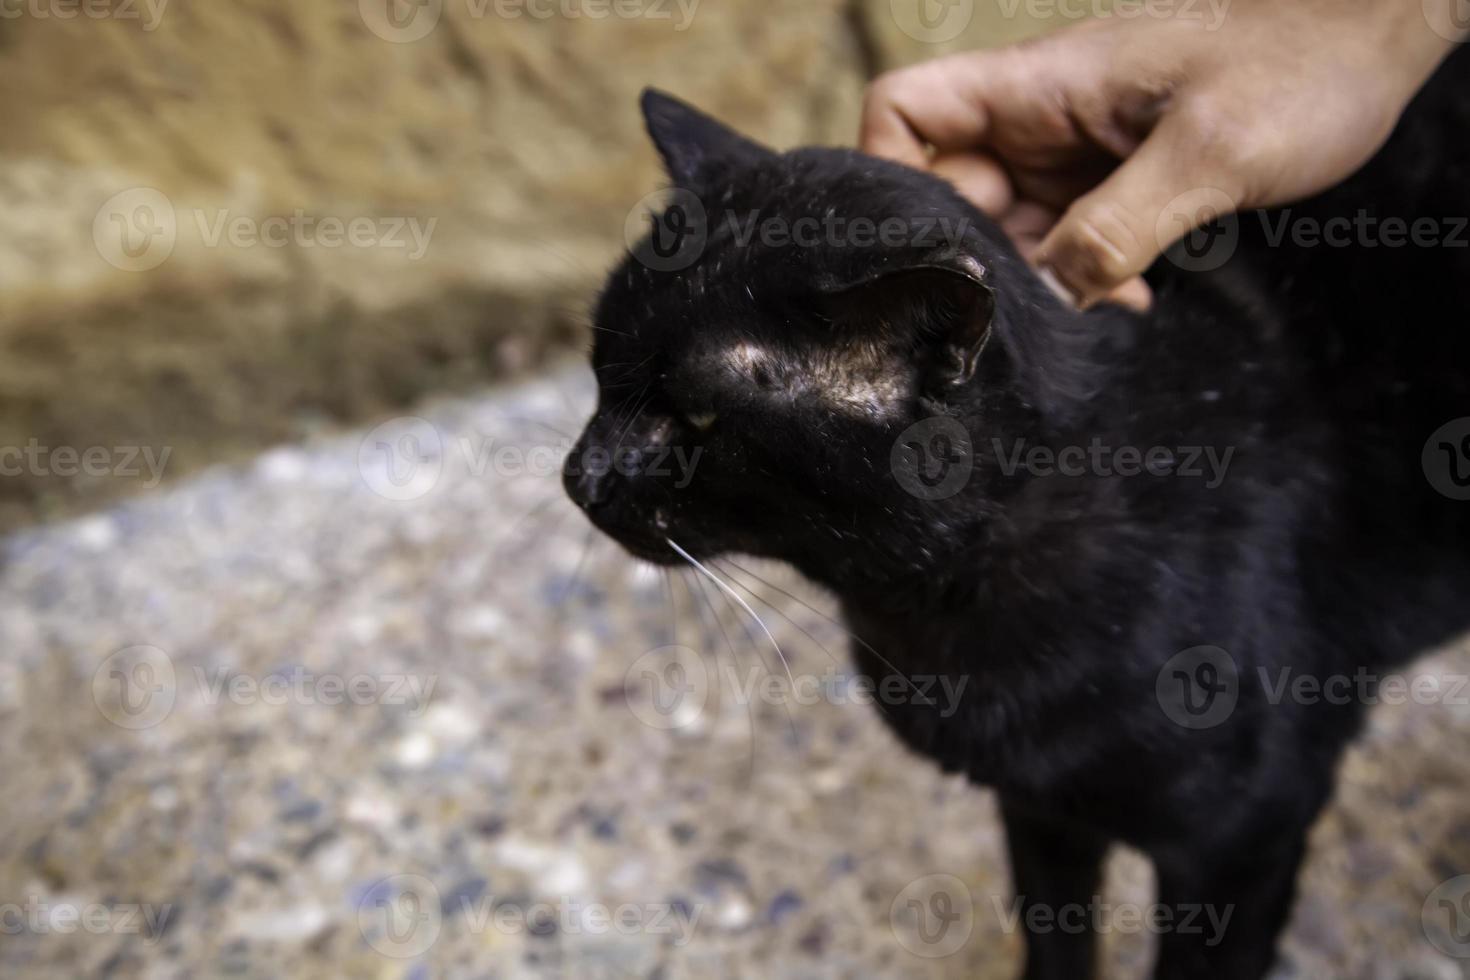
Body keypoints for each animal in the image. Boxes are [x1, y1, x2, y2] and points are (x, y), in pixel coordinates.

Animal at [558, 47, 1470, 980]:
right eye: (599, 364)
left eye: (701, 418)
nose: (580, 475)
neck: (932, 614)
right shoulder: (1040, 807)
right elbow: (1055, 929)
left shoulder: (1243, 841)